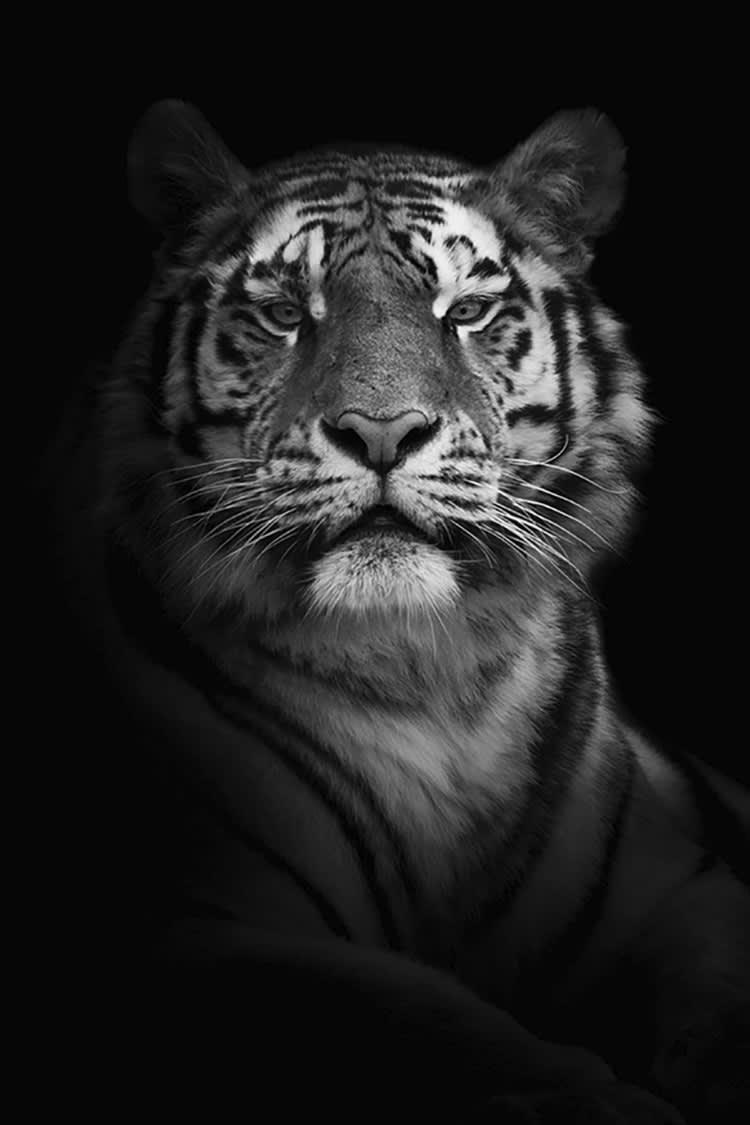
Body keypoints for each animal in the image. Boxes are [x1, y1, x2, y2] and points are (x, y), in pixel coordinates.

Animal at [50, 100, 749, 1122]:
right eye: (284, 314)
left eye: (465, 312)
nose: (382, 430)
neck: (428, 670)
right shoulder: (195, 923)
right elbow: (433, 1020)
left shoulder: (676, 881)